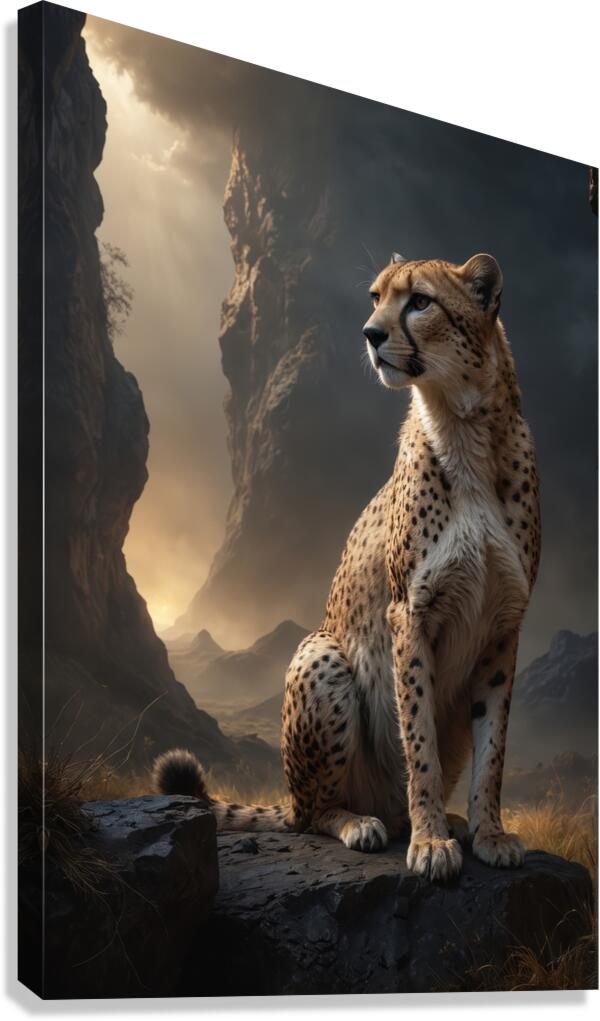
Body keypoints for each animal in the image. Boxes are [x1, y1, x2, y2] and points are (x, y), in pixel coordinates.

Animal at [154, 252, 541, 883]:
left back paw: (443, 822)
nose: (371, 334)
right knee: (312, 812)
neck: (465, 427)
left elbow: (494, 745)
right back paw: (366, 824)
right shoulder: (409, 613)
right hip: (322, 656)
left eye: (420, 301)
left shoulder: (504, 623)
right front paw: (431, 843)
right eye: (376, 298)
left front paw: (488, 833)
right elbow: (419, 740)